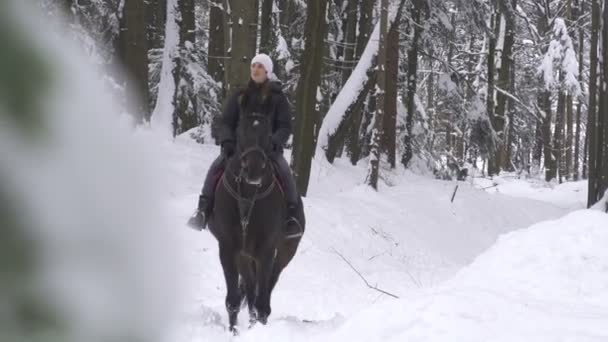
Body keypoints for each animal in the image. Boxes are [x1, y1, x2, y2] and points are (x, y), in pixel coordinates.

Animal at [208, 108, 304, 332]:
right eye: (240, 133)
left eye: (269, 135)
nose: (254, 170)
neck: (248, 195)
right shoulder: (228, 249)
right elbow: (234, 300)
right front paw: (234, 332)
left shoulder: (266, 251)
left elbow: (262, 299)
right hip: (245, 256)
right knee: (251, 288)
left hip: (285, 252)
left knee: (268, 285)